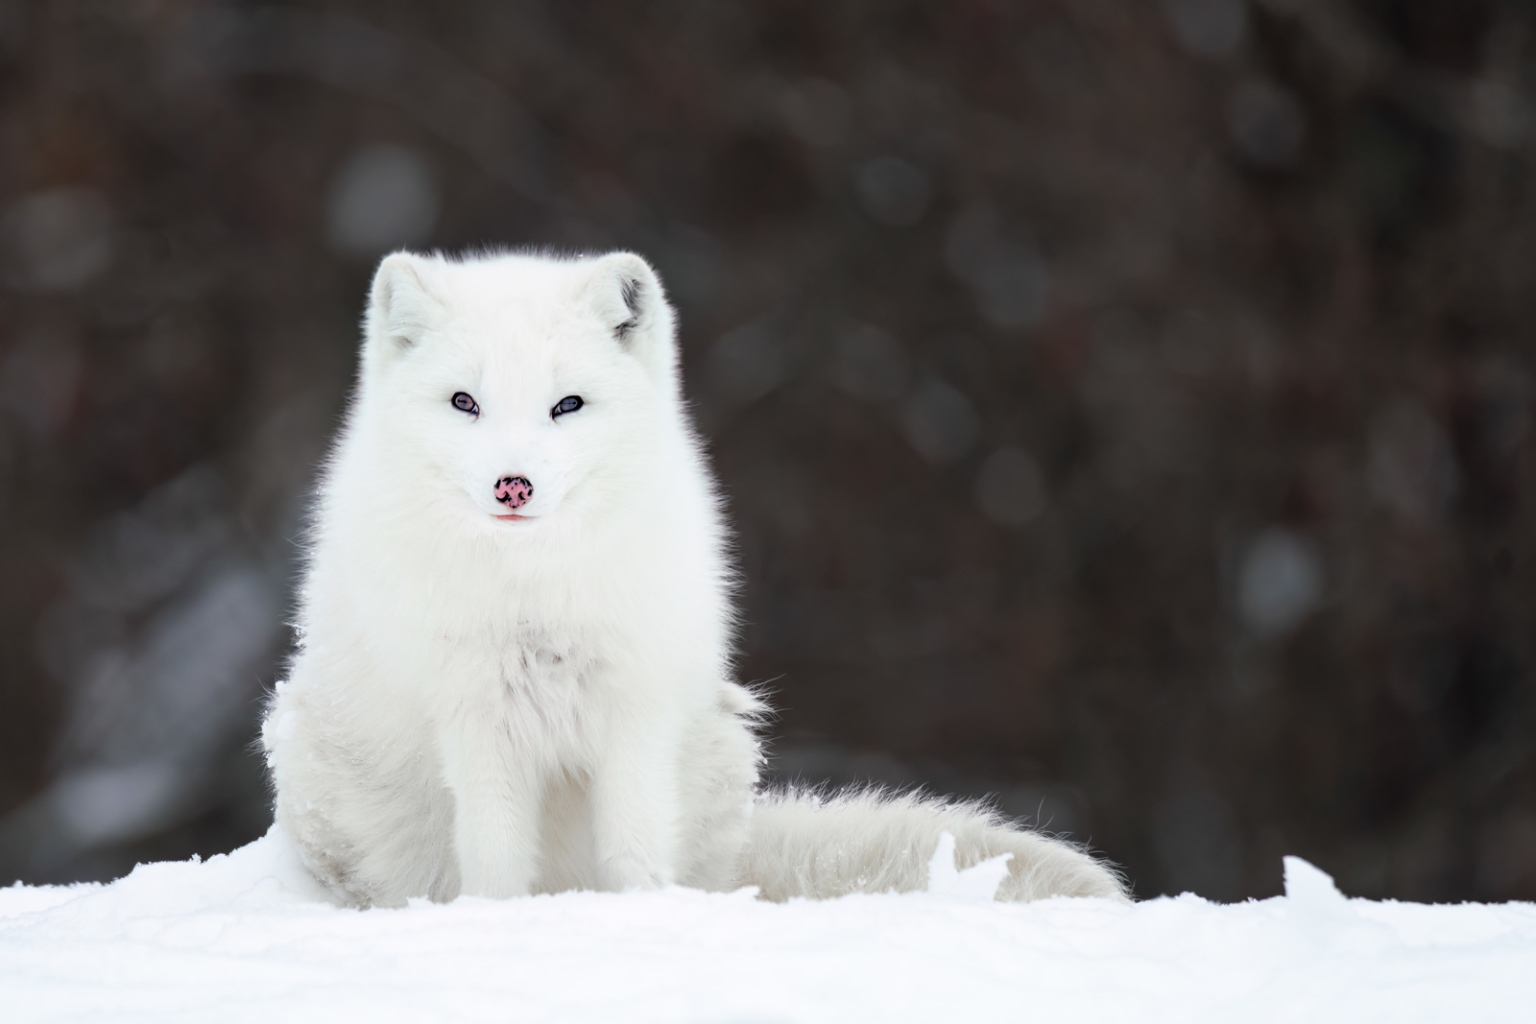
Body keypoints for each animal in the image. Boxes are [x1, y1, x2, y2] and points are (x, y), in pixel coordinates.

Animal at [261, 251, 1130, 908]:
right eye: (464, 402)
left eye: (567, 405)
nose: (513, 486)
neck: (537, 597)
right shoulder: (477, 718)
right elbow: (498, 861)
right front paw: (500, 923)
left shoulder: (634, 712)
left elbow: (636, 853)